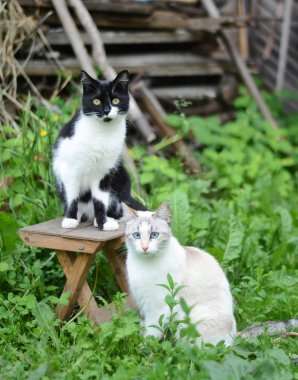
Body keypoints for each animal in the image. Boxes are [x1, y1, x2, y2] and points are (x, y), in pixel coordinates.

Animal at [52, 70, 146, 232]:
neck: (102, 133)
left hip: (121, 175)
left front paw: (104, 222)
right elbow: (72, 196)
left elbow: (100, 199)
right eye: (96, 101)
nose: (107, 111)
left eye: (115, 100)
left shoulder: (104, 171)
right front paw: (70, 219)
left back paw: (105, 219)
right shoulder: (69, 169)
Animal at [122, 203, 236, 346]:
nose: (145, 248)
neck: (143, 264)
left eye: (154, 235)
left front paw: (142, 348)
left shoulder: (157, 308)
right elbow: (143, 328)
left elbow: (150, 336)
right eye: (137, 235)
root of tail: (232, 342)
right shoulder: (142, 304)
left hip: (187, 322)